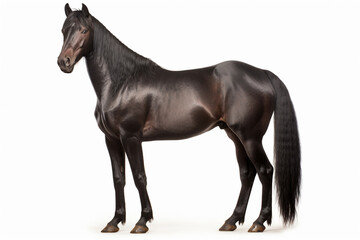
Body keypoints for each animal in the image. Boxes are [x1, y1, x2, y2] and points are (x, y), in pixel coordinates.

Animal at [58, 2, 300, 233]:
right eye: (63, 30)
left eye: (84, 30)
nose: (64, 62)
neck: (122, 83)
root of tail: (262, 73)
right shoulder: (112, 139)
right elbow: (119, 179)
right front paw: (115, 221)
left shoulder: (131, 137)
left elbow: (139, 177)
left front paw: (142, 221)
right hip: (236, 136)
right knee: (247, 174)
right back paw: (232, 220)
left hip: (250, 138)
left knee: (265, 171)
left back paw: (259, 222)